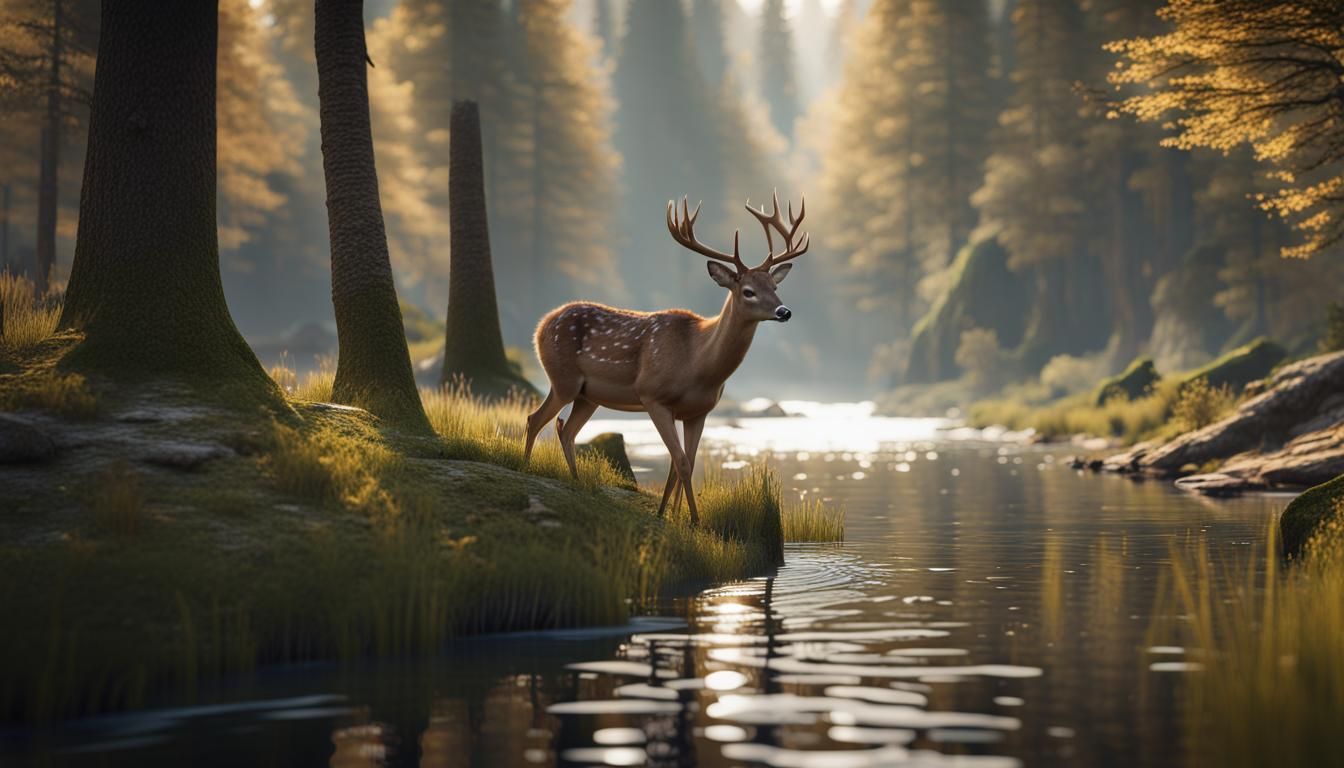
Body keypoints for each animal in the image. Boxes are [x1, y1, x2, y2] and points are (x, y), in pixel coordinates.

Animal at [522, 192, 810, 526]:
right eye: (748, 291)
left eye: (775, 287)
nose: (784, 311)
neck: (698, 363)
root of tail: (541, 325)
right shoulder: (653, 396)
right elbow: (681, 462)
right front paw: (693, 521)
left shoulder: (699, 411)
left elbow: (683, 463)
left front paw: (669, 513)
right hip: (563, 377)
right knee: (535, 419)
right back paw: (526, 467)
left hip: (588, 395)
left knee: (566, 430)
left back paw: (577, 481)